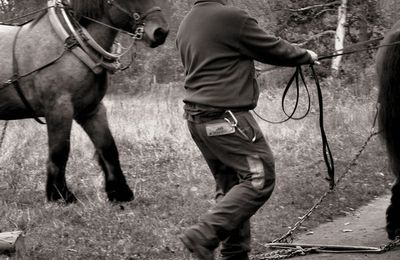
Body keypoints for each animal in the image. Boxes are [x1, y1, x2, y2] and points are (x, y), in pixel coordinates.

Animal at [0, 0, 169, 203]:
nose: (161, 32)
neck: (71, 42)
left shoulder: (91, 110)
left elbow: (108, 147)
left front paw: (119, 191)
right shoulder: (59, 108)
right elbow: (60, 151)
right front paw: (60, 194)